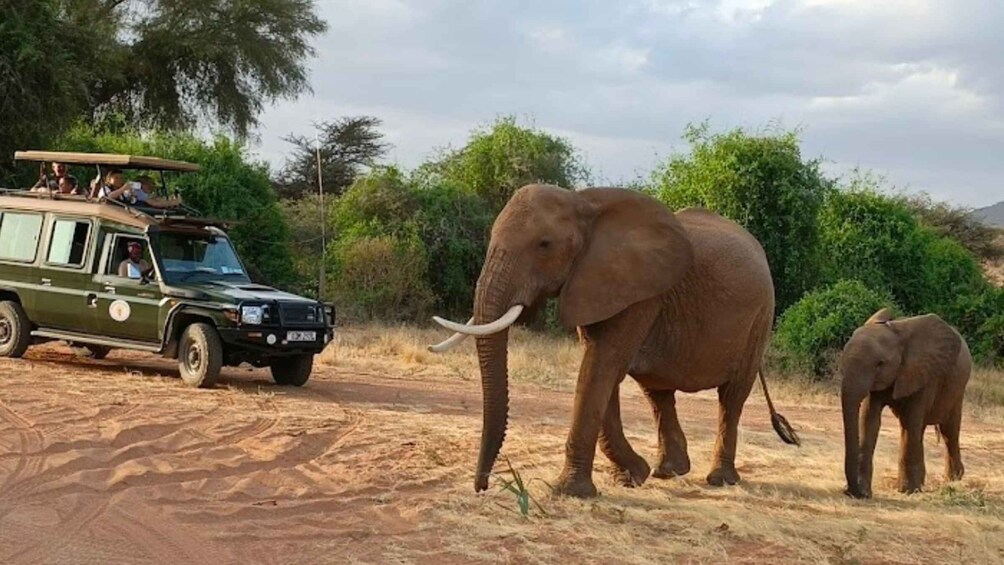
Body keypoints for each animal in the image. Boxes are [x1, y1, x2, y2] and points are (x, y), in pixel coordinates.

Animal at [428, 183, 799, 498]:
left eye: (544, 244)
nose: (482, 486)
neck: (583, 203)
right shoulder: (596, 283)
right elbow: (601, 368)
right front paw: (632, 477)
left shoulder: (641, 293)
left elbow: (601, 365)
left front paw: (570, 492)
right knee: (658, 391)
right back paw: (669, 471)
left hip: (761, 317)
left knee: (731, 397)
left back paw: (719, 480)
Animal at [840, 308, 971, 499]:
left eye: (880, 364)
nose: (851, 492)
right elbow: (868, 421)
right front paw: (864, 491)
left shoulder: (924, 374)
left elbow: (910, 420)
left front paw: (907, 491)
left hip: (958, 388)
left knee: (948, 431)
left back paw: (953, 480)